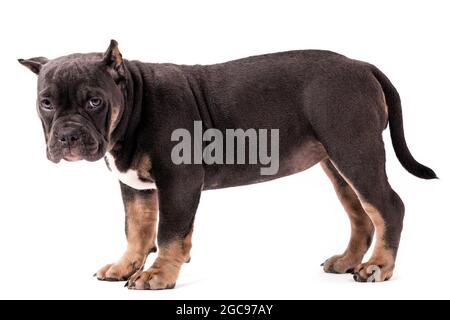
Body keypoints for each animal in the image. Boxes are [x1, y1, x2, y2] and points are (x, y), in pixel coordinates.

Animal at [18, 39, 436, 288]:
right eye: (46, 103)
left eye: (94, 101)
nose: (68, 136)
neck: (134, 100)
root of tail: (361, 64)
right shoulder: (135, 189)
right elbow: (136, 230)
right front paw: (126, 265)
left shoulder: (179, 183)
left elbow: (169, 234)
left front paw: (158, 274)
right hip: (338, 164)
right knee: (361, 214)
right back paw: (348, 260)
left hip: (356, 153)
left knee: (388, 206)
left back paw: (378, 266)